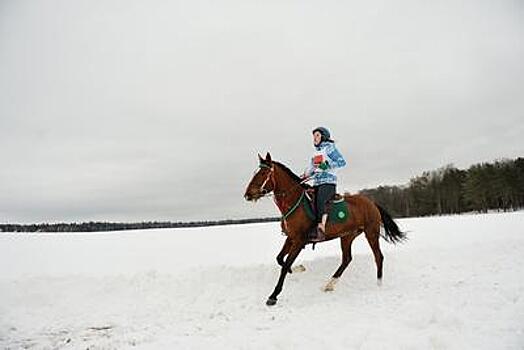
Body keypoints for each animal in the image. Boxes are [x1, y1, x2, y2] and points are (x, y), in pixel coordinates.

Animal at [243, 152, 406, 304]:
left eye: (262, 173)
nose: (247, 194)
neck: (293, 202)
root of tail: (371, 203)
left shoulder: (299, 241)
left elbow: (285, 264)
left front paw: (273, 295)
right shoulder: (291, 238)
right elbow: (280, 259)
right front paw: (297, 269)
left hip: (371, 232)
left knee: (378, 256)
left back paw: (378, 284)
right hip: (347, 236)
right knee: (347, 259)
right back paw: (330, 284)